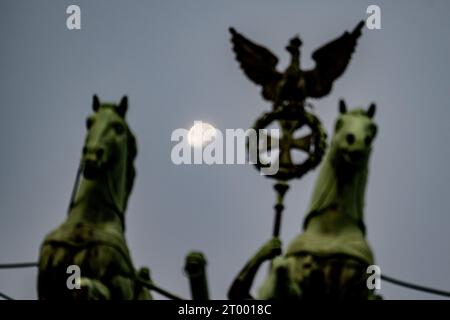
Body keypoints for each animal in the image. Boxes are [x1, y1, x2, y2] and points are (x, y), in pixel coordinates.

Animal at [38, 95, 151, 300]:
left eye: (118, 127)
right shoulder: (46, 286)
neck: (87, 222)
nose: (91, 155)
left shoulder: (119, 285)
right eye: (89, 122)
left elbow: (91, 286)